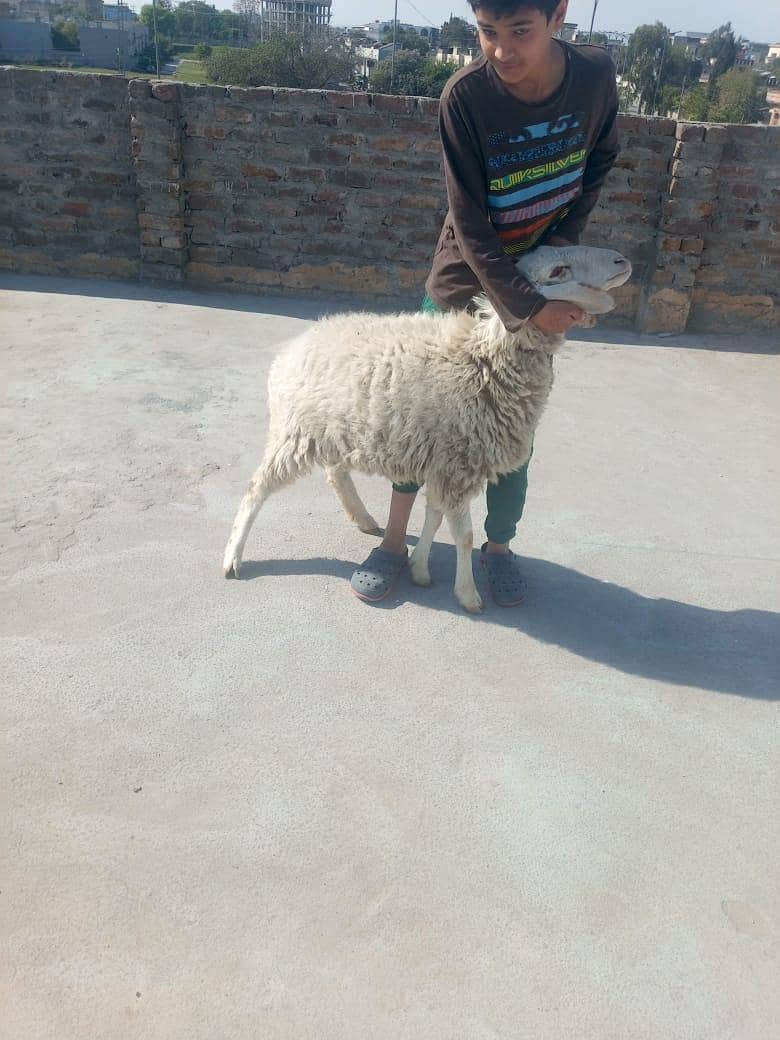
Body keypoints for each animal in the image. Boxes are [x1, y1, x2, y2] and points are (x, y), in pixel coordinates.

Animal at [222, 244, 632, 612]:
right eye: (558, 271)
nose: (621, 260)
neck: (484, 357)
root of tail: (295, 345)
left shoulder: (445, 462)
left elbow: (433, 517)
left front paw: (420, 567)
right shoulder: (456, 462)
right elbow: (464, 536)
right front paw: (468, 595)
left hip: (334, 429)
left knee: (335, 473)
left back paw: (364, 519)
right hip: (294, 432)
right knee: (257, 488)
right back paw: (233, 557)